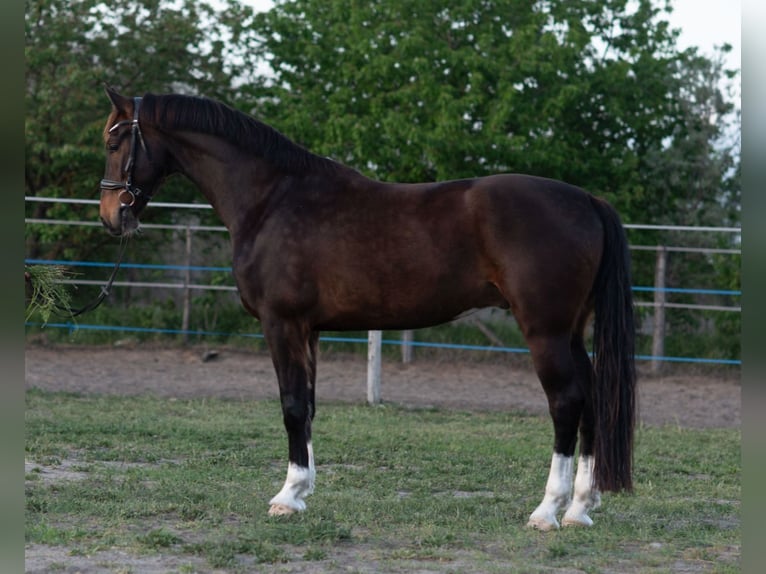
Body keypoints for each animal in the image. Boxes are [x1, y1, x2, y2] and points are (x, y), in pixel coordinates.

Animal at [99, 87, 636, 530]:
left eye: (113, 142)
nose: (110, 217)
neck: (273, 199)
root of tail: (587, 200)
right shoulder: (309, 330)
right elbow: (309, 406)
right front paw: (302, 491)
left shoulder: (282, 324)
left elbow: (291, 406)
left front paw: (285, 498)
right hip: (571, 331)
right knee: (591, 398)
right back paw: (581, 507)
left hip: (545, 331)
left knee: (566, 402)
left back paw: (548, 510)